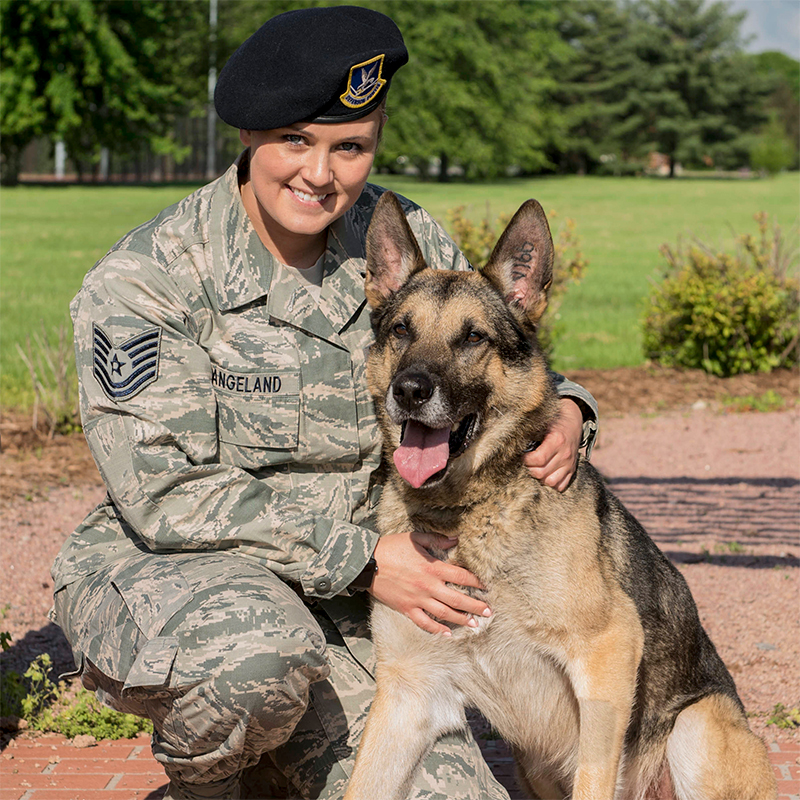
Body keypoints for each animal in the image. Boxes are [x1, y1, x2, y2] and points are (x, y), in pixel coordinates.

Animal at [344, 194, 776, 800]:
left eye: (473, 338)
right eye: (402, 330)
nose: (408, 391)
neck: (470, 511)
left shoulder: (607, 655)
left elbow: (594, 777)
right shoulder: (408, 698)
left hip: (695, 727)